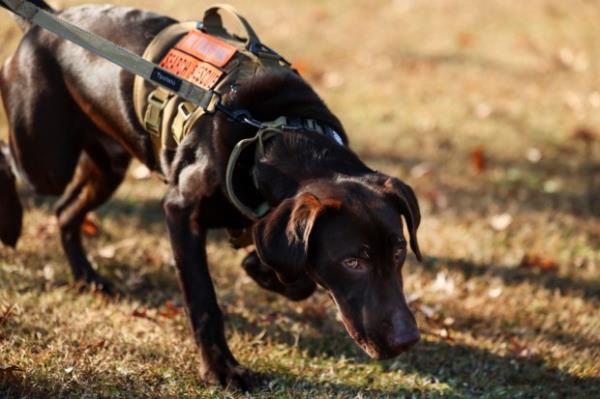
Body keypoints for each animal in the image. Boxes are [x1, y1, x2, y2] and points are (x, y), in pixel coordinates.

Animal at [0, 0, 422, 390]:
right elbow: (204, 301)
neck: (272, 135)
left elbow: (292, 269)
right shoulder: (180, 212)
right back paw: (12, 224)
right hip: (46, 157)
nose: (408, 340)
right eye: (352, 262)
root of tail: (48, 21)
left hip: (107, 163)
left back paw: (87, 278)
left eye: (400, 251)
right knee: (14, 162)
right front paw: (222, 370)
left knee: (65, 210)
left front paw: (262, 268)